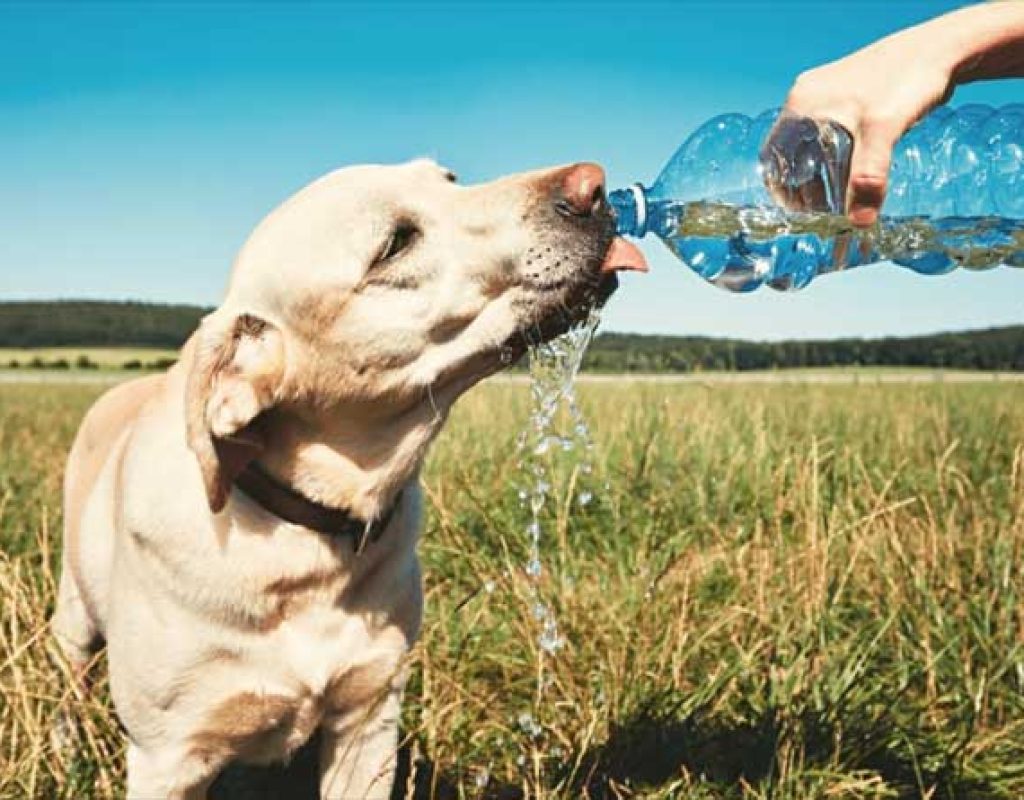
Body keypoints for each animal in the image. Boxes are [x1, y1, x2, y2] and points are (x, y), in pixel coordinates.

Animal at [51, 158, 643, 794]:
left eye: (450, 179)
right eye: (395, 244)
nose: (593, 184)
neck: (305, 542)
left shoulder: (369, 718)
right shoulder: (167, 758)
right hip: (73, 620)